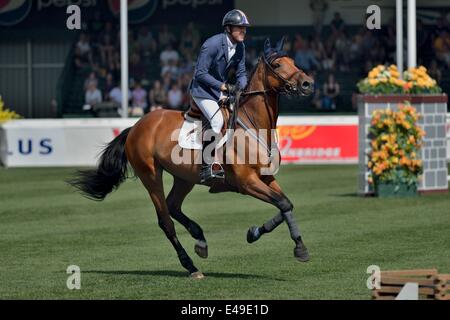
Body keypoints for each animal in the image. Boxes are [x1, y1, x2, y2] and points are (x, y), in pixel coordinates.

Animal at [70, 37, 314, 278]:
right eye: (278, 65)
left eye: (293, 61)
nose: (307, 83)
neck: (253, 124)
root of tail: (136, 126)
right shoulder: (247, 182)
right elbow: (282, 203)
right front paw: (298, 248)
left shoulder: (265, 178)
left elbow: (285, 204)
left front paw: (257, 233)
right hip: (151, 175)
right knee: (165, 220)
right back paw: (191, 266)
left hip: (184, 177)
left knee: (173, 205)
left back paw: (200, 240)